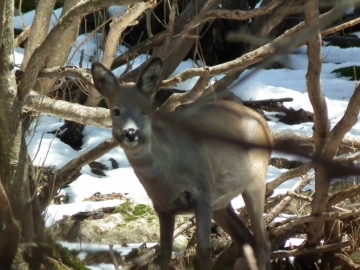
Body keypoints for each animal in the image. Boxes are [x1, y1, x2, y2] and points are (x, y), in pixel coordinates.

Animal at [92, 58, 272, 270]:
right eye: (116, 111)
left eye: (145, 111)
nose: (131, 133)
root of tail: (264, 124)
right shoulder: (162, 206)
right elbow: (164, 253)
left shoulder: (202, 192)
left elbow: (204, 251)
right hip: (221, 202)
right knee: (245, 239)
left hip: (255, 180)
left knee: (263, 242)